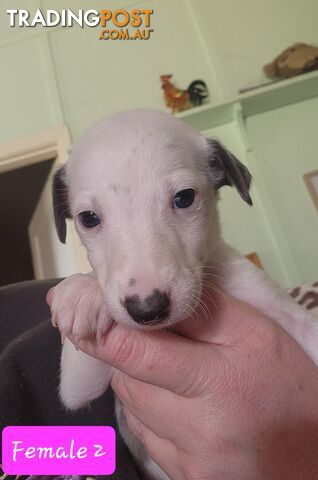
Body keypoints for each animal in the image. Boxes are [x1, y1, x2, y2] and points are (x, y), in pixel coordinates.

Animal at [49, 109, 318, 480]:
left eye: (184, 198)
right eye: (88, 218)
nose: (148, 308)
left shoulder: (277, 308)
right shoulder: (81, 385)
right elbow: (78, 379)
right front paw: (84, 293)